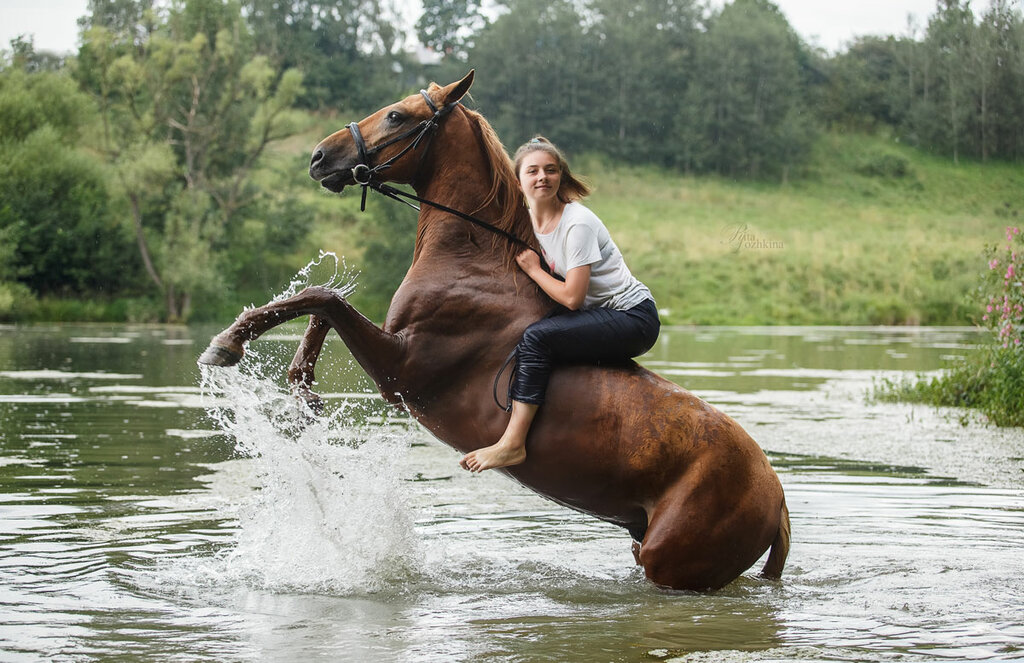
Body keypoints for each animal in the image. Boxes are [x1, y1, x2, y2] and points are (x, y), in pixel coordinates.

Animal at [199, 72, 790, 590]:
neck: (472, 258)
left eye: (396, 115)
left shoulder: (402, 371)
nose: (320, 157)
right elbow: (324, 305)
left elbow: (323, 297)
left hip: (673, 566)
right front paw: (302, 389)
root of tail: (777, 498)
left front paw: (228, 343)